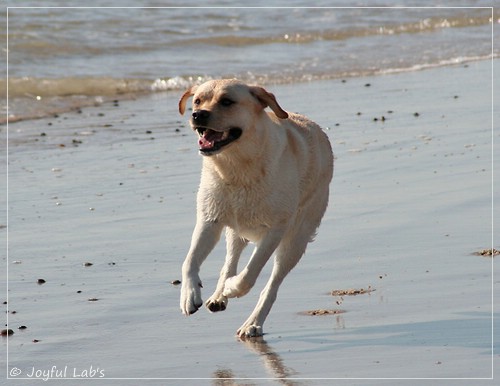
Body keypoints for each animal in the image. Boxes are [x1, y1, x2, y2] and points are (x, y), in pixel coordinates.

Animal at [178, 79, 334, 338]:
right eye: (198, 101)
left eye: (227, 101)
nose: (197, 115)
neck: (237, 168)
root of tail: (320, 131)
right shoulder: (210, 219)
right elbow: (190, 260)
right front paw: (189, 295)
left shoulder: (276, 229)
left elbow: (250, 273)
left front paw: (233, 288)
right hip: (235, 228)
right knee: (229, 261)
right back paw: (218, 297)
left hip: (295, 240)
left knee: (271, 285)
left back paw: (252, 322)